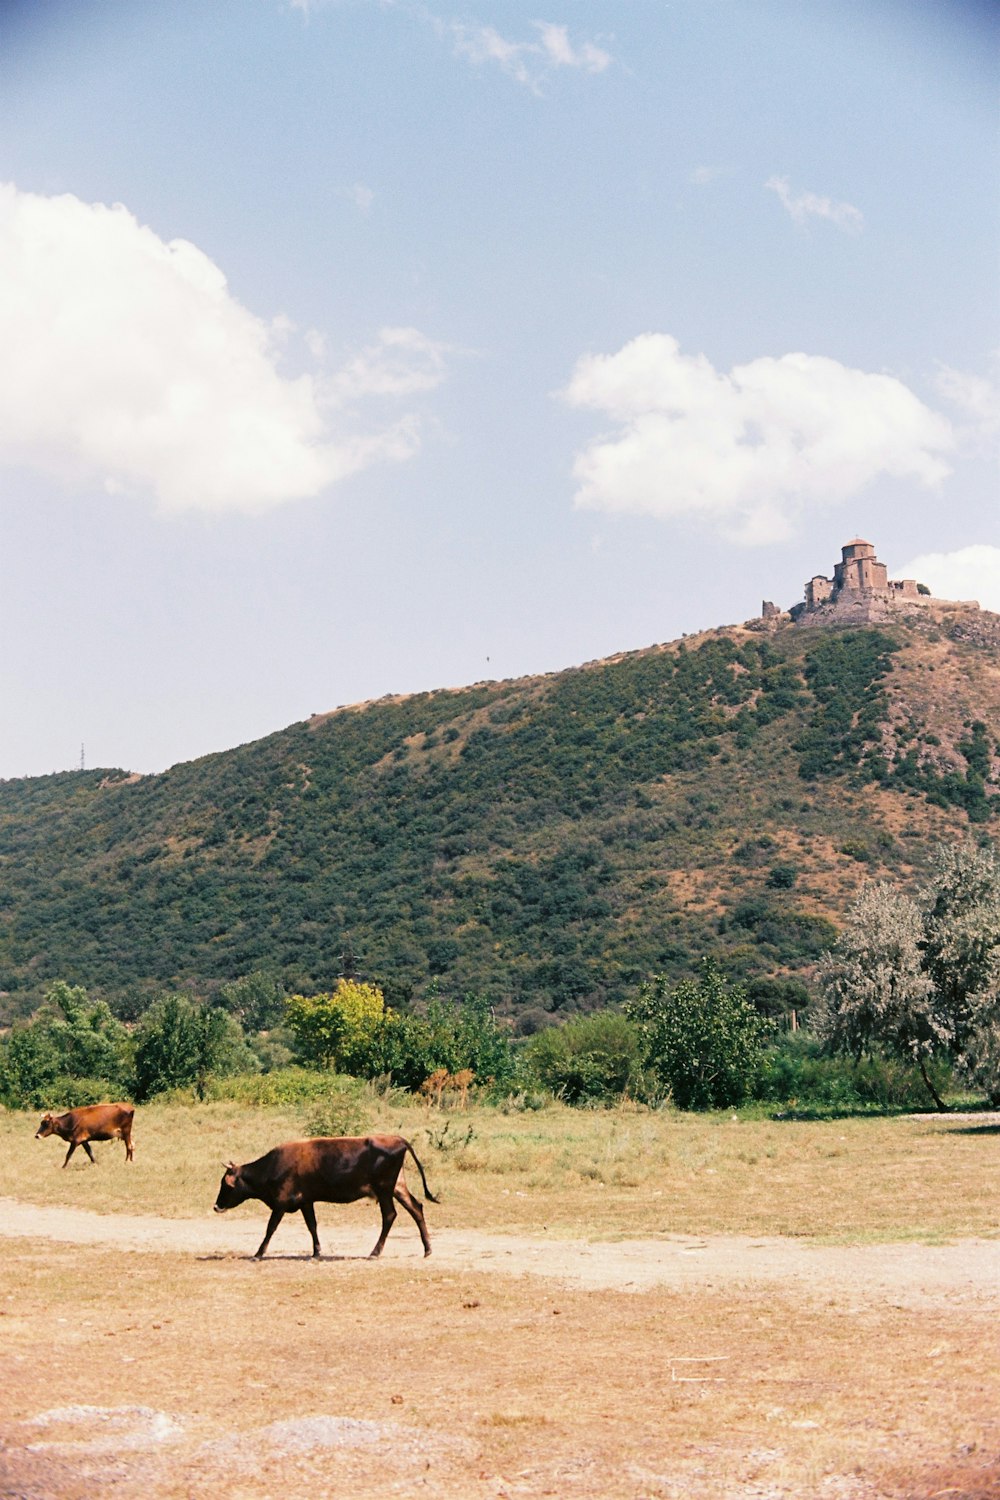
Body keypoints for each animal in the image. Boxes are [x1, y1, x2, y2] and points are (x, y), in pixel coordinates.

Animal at [215, 1128, 437, 1260]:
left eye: (225, 1184)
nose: (216, 1206)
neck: (273, 1166)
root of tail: (396, 1139)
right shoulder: (306, 1202)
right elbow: (312, 1226)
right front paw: (316, 1252)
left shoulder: (281, 1203)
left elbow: (270, 1228)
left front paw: (259, 1253)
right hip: (398, 1188)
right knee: (416, 1208)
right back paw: (427, 1249)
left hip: (384, 1191)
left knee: (390, 1215)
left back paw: (375, 1252)